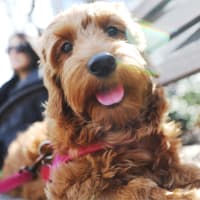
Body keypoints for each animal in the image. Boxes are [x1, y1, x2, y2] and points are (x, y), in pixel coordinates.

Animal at [2, 1, 200, 200]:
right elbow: (139, 187)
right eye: (66, 47)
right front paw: (184, 194)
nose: (102, 63)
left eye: (112, 30)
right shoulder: (69, 186)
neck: (118, 130)